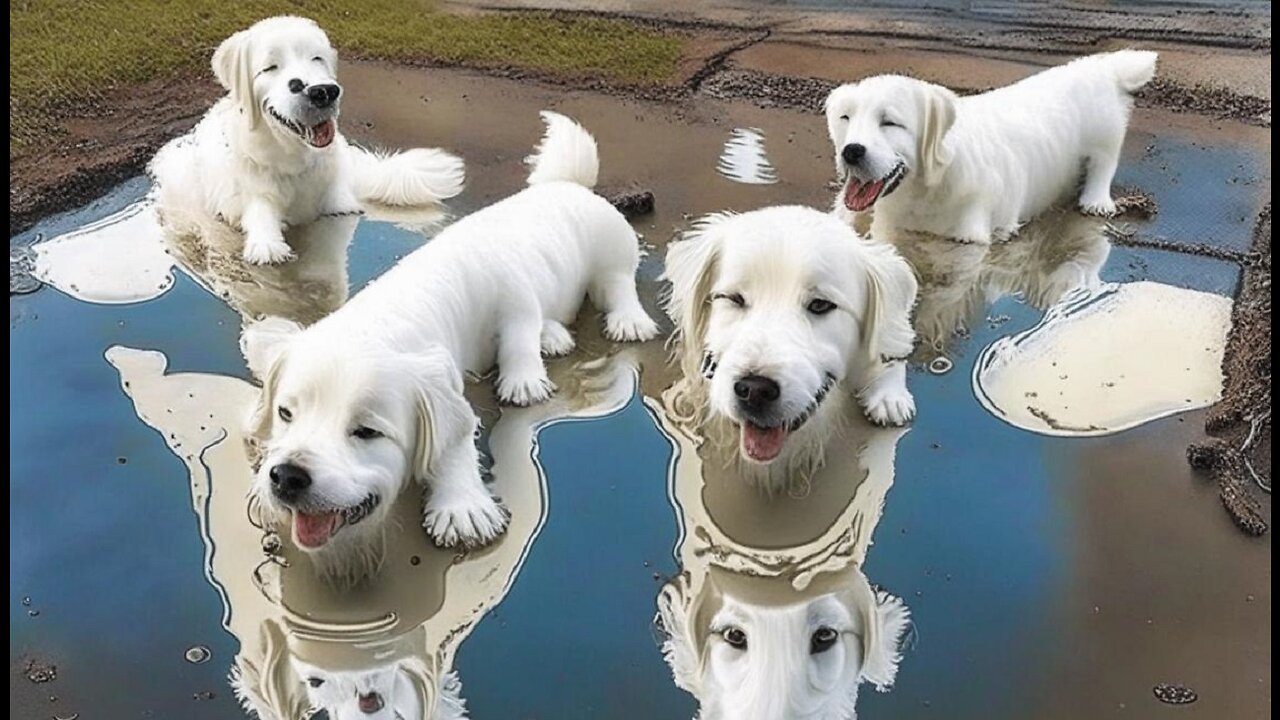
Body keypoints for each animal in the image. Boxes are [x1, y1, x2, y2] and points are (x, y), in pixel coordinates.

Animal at [151, 18, 460, 267]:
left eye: (317, 59)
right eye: (270, 68)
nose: (322, 91)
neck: (293, 163)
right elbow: (259, 214)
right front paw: (267, 247)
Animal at [241, 109, 660, 573]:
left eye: (366, 432)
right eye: (285, 413)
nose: (286, 476)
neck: (395, 312)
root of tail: (567, 182)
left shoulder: (512, 296)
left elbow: (507, 357)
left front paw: (462, 506)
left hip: (611, 256)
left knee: (618, 286)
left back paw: (626, 322)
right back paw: (554, 336)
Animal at [829, 49, 1162, 243]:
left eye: (890, 122)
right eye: (845, 117)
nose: (851, 151)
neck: (925, 188)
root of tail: (1099, 67)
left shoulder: (973, 232)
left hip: (1105, 134)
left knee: (1105, 163)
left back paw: (1096, 200)